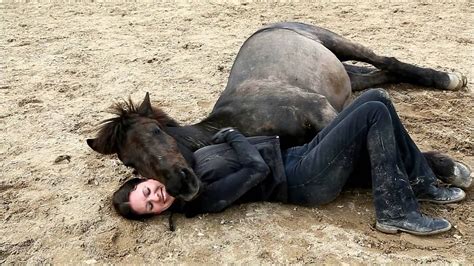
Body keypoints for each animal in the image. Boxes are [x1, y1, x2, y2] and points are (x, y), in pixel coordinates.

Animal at [86, 22, 466, 201]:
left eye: (155, 131)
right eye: (129, 162)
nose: (180, 185)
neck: (238, 122)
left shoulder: (320, 109)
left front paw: (451, 168)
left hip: (334, 40)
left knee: (386, 61)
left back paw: (448, 79)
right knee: (379, 74)